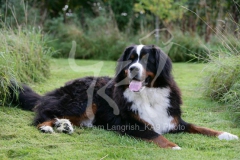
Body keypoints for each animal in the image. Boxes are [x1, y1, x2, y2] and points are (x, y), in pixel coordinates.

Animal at [12, 44, 238, 149]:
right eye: (130, 59)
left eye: (145, 59)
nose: (133, 69)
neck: (148, 94)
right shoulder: (131, 124)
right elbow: (156, 135)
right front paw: (174, 147)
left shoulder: (173, 119)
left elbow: (202, 127)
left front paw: (226, 134)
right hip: (81, 102)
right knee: (42, 116)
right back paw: (49, 127)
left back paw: (64, 125)